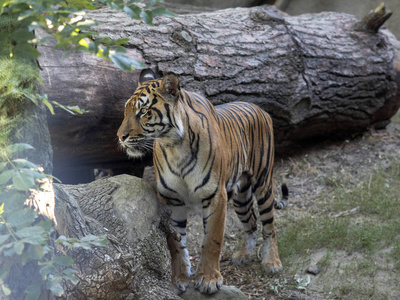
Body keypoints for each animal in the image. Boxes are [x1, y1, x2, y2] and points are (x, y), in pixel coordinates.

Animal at [115, 69, 288, 294]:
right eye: (126, 111)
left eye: (143, 111)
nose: (120, 136)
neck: (174, 147)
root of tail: (259, 108)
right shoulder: (170, 199)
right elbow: (175, 243)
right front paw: (179, 278)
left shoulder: (215, 195)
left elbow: (212, 239)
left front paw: (208, 279)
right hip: (241, 196)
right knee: (251, 223)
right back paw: (244, 255)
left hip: (263, 183)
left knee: (269, 225)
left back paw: (272, 263)